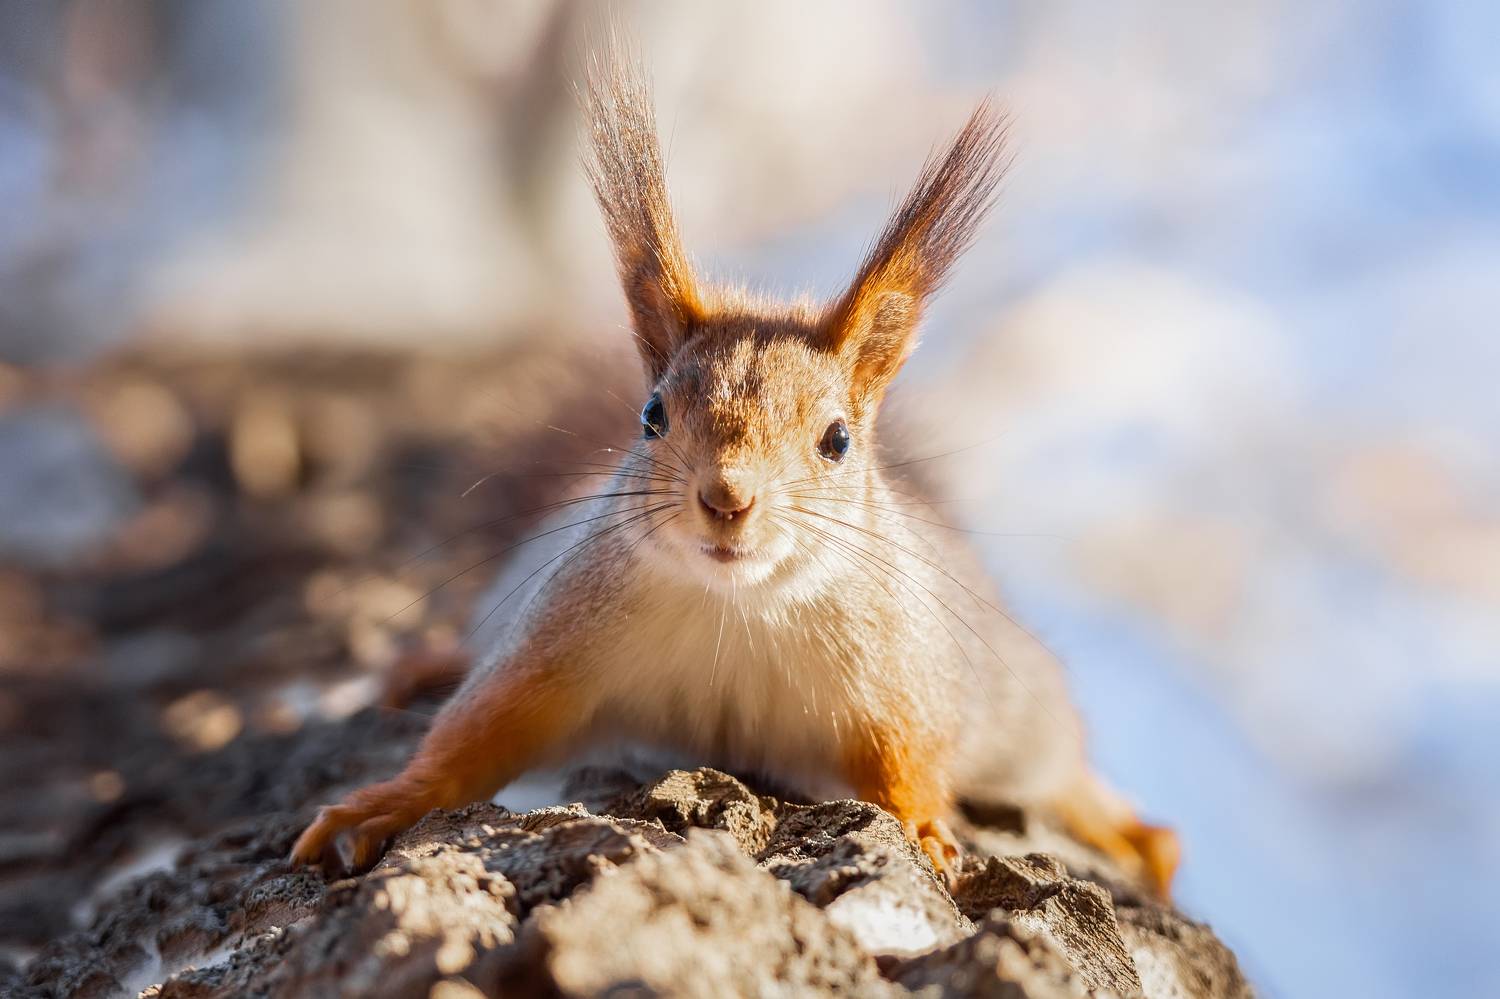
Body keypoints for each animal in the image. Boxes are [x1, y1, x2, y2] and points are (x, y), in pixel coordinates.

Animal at [291, 47, 1179, 895]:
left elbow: (910, 760)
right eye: (651, 415)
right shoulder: (555, 638)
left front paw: (927, 828)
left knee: (1056, 755)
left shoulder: (902, 675)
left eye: (836, 440)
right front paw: (383, 803)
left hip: (1013, 692)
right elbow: (476, 730)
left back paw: (1124, 825)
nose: (726, 497)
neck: (737, 609)